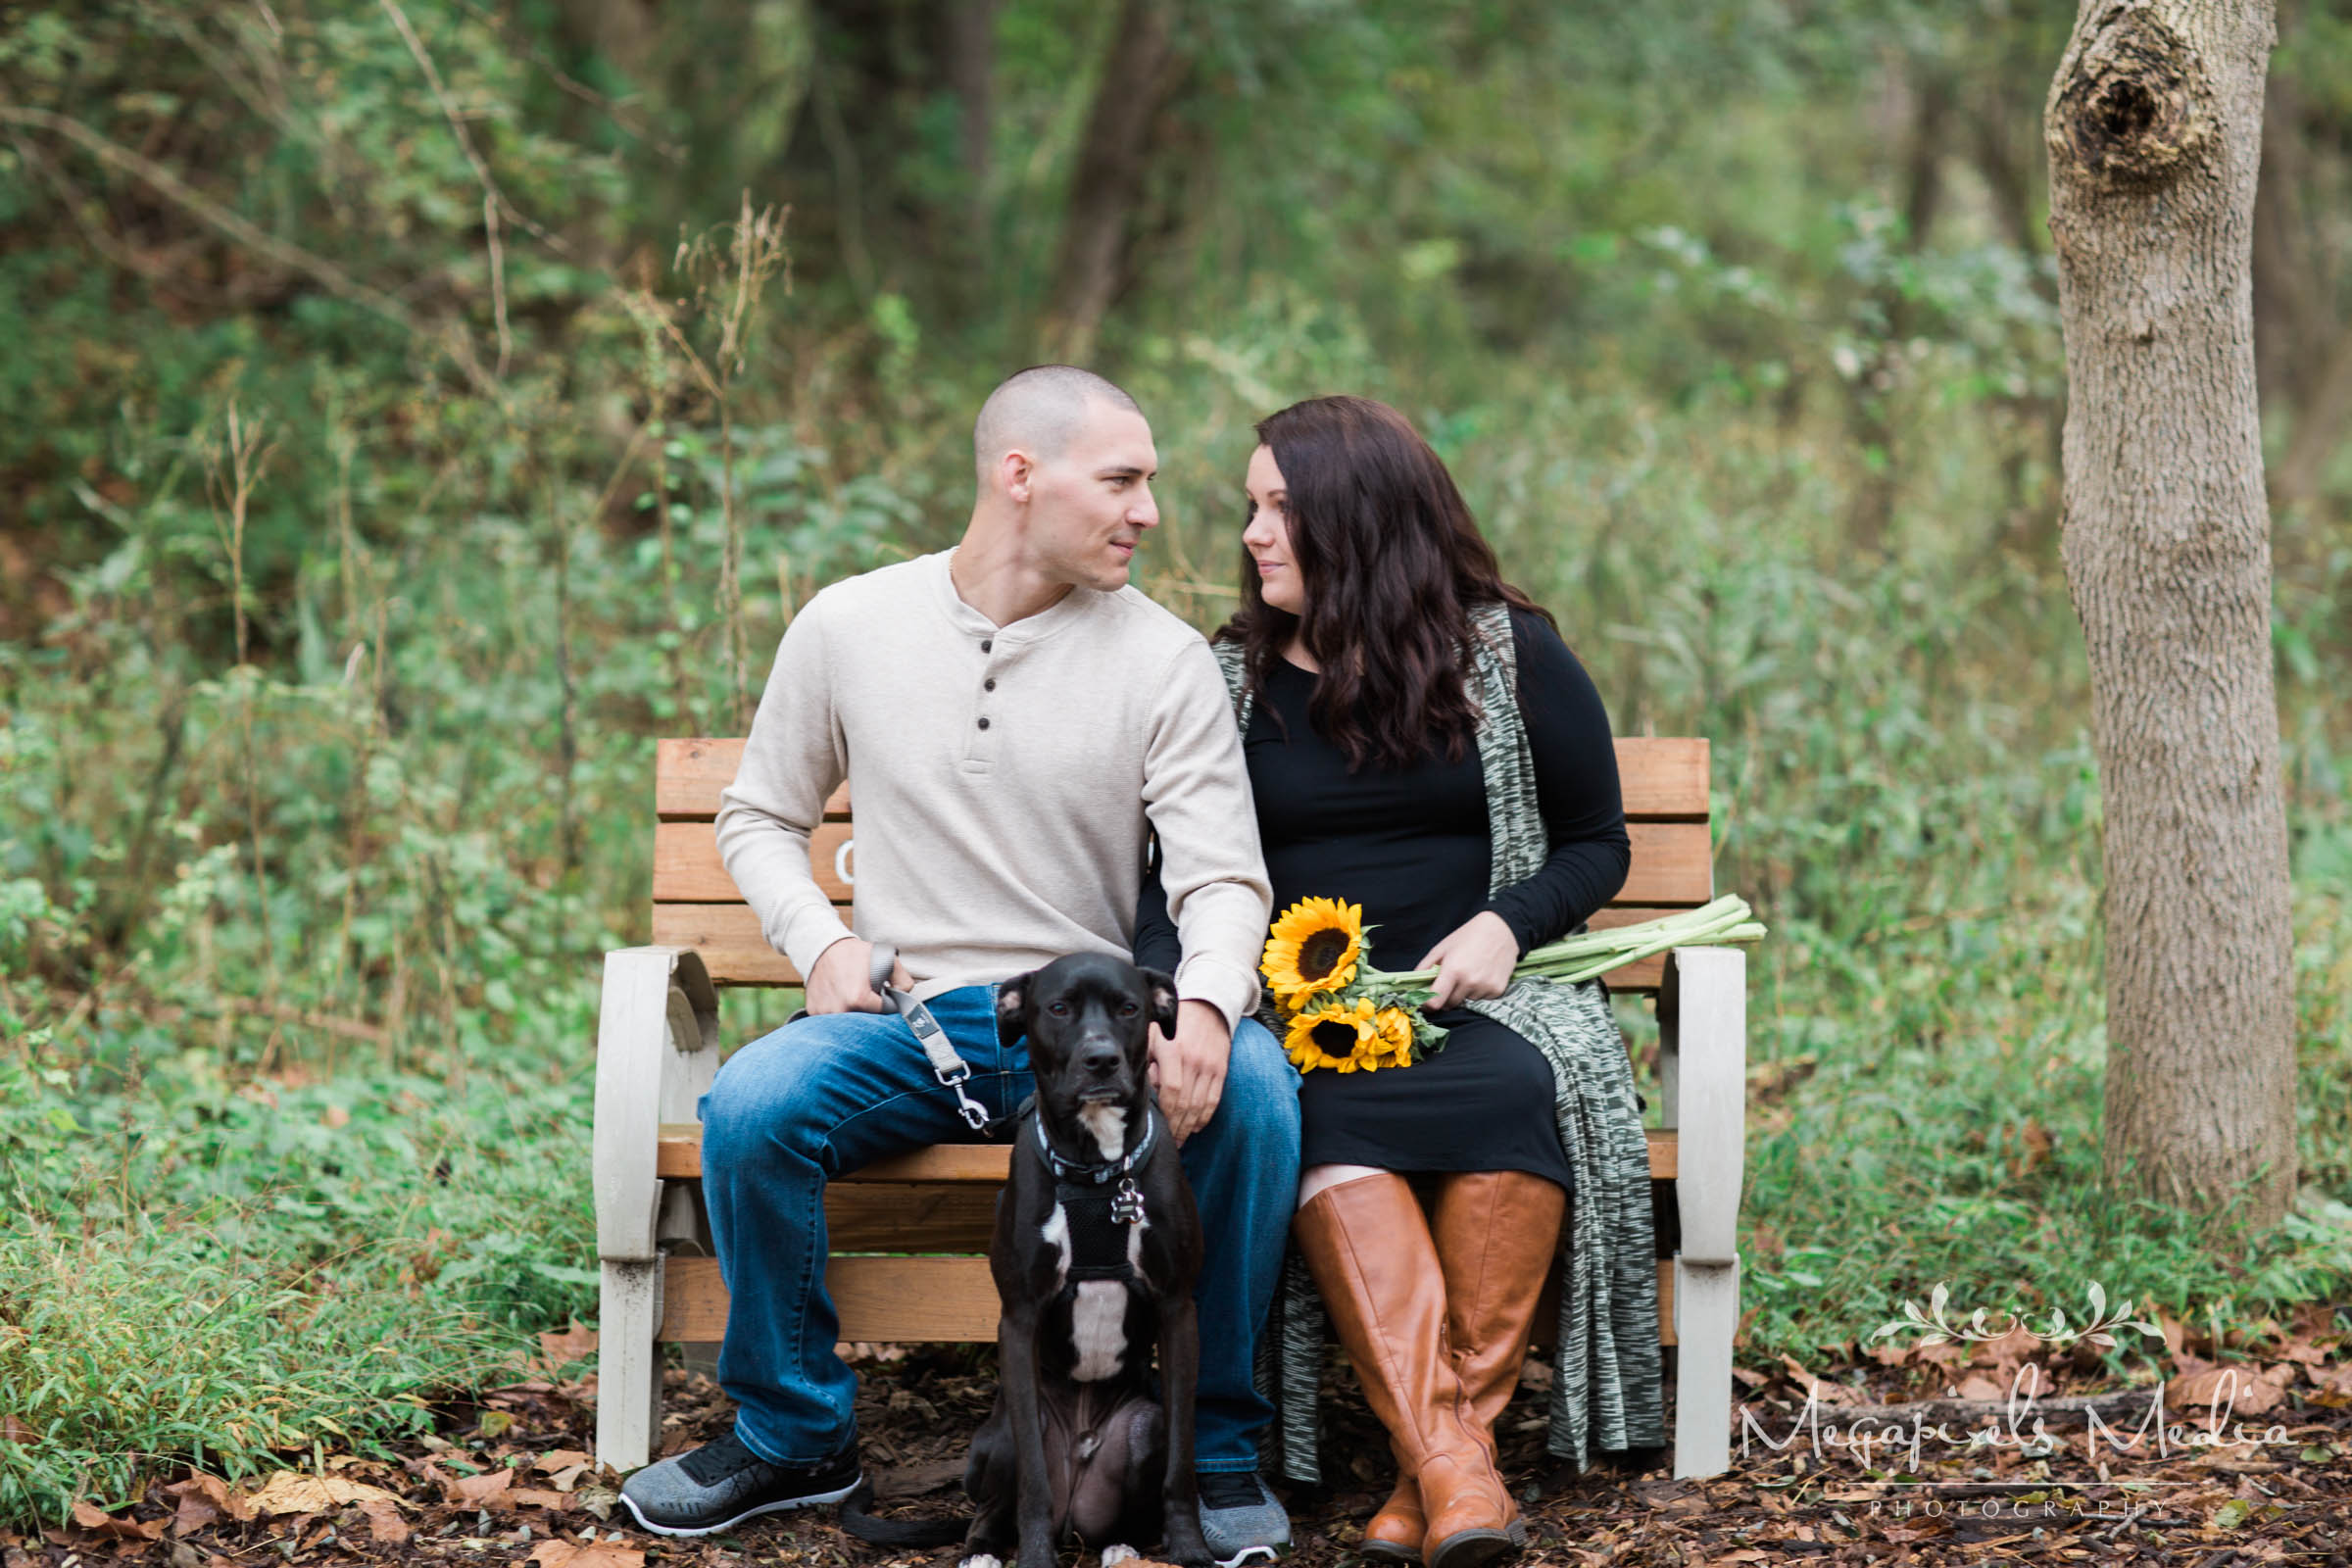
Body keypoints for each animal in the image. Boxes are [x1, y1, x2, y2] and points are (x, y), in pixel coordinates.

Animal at [955, 958, 1213, 1568]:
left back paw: (1123, 1548)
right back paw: (984, 1550)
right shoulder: (1019, 1318)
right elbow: (1032, 1482)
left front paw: (1189, 1547)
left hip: (1142, 1426)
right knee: (996, 1501)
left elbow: (1182, 1460)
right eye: (1058, 1008)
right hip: (1002, 1434)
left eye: (1129, 1008)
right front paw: (1034, 1557)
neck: (1097, 1172)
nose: (1101, 1059)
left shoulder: (1178, 1308)